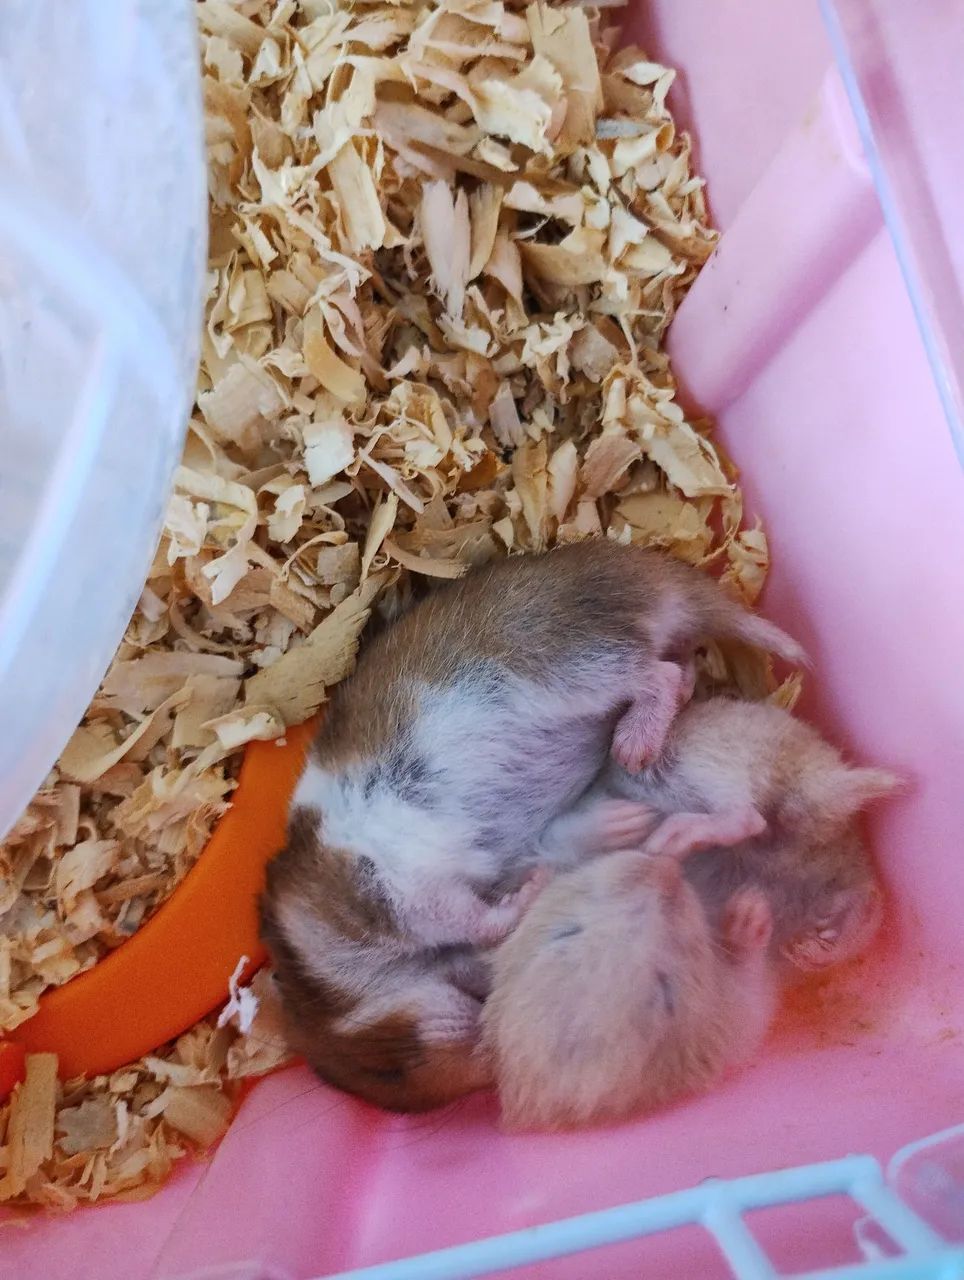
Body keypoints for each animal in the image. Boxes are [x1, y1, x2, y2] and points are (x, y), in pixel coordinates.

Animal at [481, 849, 778, 1131]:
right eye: (665, 992)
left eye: (567, 931)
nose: (669, 865)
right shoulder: (721, 1033)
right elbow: (749, 999)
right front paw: (750, 909)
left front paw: (535, 879)